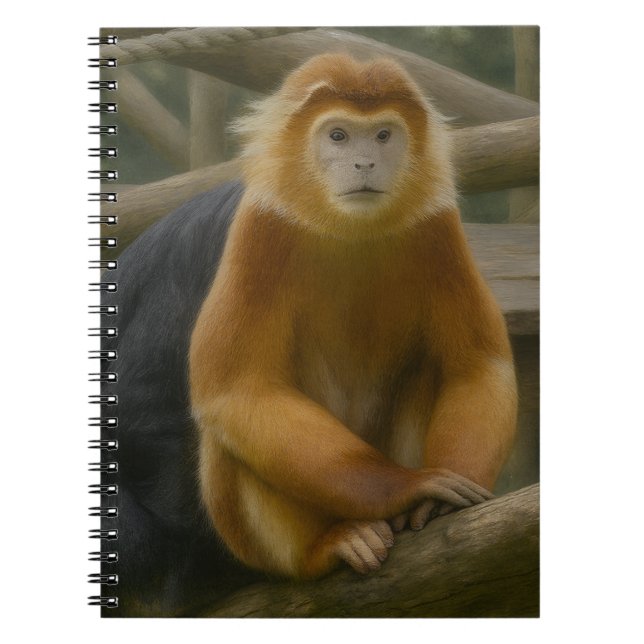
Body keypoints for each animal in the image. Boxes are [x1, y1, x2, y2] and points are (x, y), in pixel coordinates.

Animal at [100, 54, 516, 616]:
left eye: (383, 135)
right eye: (337, 136)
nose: (364, 163)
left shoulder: (434, 226)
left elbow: (478, 366)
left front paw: (437, 499)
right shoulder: (250, 234)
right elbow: (219, 395)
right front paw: (413, 487)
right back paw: (331, 544)